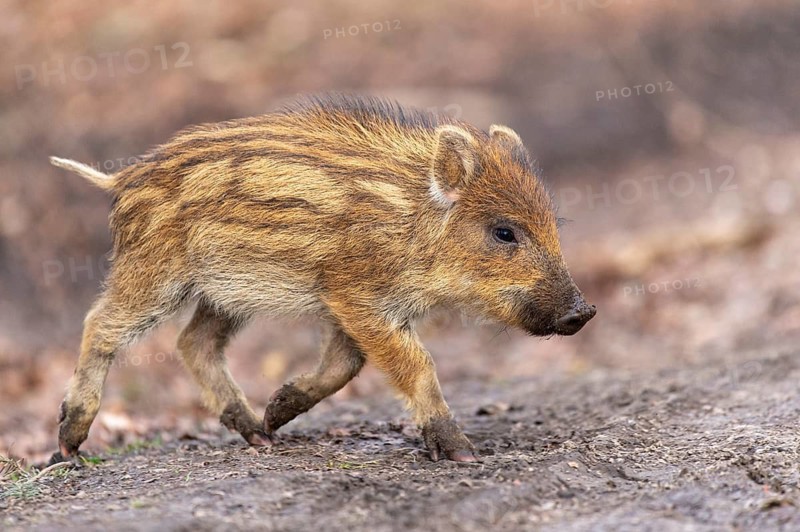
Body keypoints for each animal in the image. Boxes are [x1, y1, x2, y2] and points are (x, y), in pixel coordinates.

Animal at [49, 94, 595, 464]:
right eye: (504, 231)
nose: (584, 310)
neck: (410, 224)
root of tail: (121, 180)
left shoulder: (348, 305)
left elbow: (344, 364)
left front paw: (279, 407)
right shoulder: (356, 296)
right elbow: (414, 365)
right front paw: (461, 452)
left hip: (225, 293)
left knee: (193, 342)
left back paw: (261, 432)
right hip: (154, 274)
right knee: (101, 325)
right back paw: (68, 445)